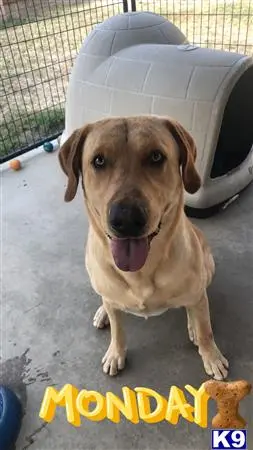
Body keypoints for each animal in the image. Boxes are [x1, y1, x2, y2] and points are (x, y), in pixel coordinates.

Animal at [59, 115, 229, 380]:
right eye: (99, 160)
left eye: (156, 156)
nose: (126, 218)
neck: (141, 271)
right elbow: (118, 331)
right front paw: (115, 353)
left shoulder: (197, 294)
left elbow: (205, 330)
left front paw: (211, 356)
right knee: (108, 302)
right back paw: (103, 311)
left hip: (208, 268)